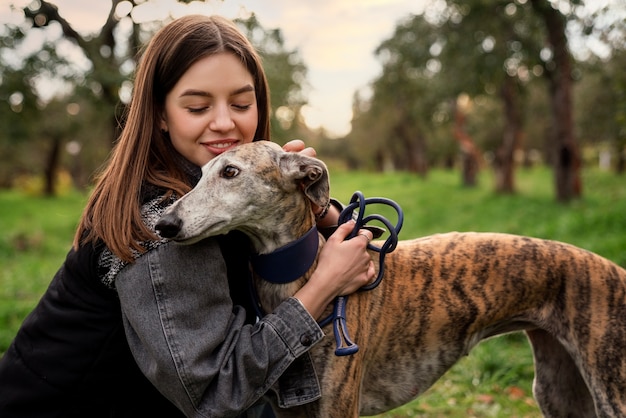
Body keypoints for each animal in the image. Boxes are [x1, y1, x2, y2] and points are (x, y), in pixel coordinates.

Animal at [155, 142, 624, 416]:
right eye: (200, 174)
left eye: (231, 172)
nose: (164, 224)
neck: (302, 276)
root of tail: (614, 269)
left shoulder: (337, 407)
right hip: (559, 391)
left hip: (610, 389)